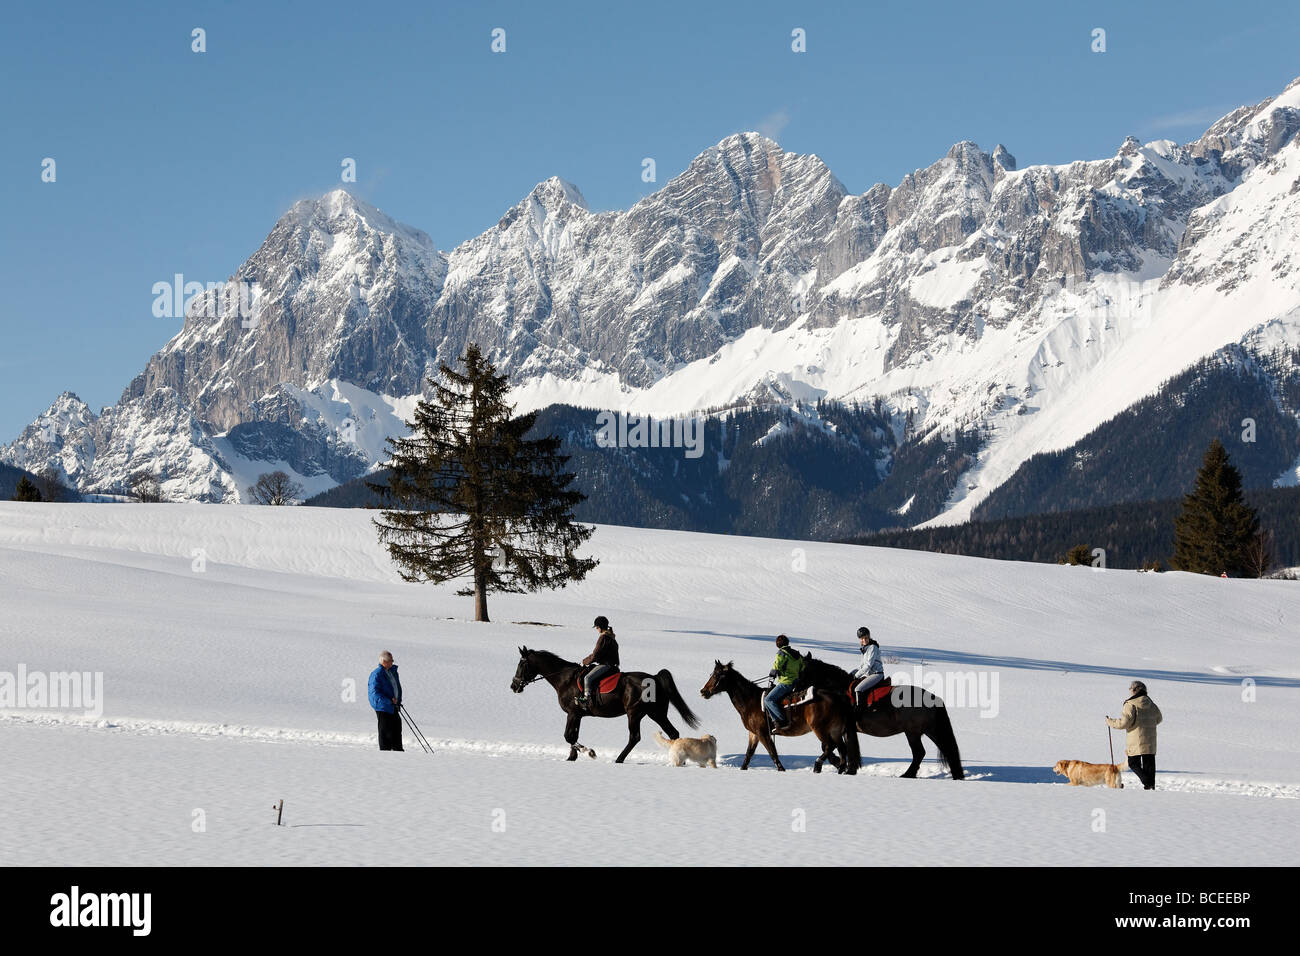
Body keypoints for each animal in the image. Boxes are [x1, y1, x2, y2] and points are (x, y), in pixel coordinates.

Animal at [506, 647, 702, 764]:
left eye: (522, 664)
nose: (514, 686)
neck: (564, 679)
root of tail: (653, 678)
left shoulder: (572, 713)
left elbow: (568, 736)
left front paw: (588, 751)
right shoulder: (577, 715)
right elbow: (572, 735)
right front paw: (572, 757)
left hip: (634, 713)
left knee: (634, 737)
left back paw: (619, 759)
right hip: (657, 713)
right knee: (673, 733)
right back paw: (679, 760)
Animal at [702, 660, 863, 775]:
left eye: (716, 675)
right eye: (712, 674)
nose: (703, 691)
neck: (751, 701)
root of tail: (837, 697)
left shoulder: (763, 733)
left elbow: (772, 752)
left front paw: (781, 769)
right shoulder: (753, 733)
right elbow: (748, 755)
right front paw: (743, 769)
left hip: (820, 729)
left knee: (830, 746)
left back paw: (818, 765)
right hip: (835, 730)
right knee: (842, 749)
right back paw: (841, 769)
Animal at [795, 655, 961, 780]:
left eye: (803, 671)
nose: (795, 688)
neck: (840, 692)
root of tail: (933, 698)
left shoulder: (845, 729)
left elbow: (839, 748)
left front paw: (845, 767)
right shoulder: (844, 730)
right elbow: (837, 748)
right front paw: (845, 767)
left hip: (913, 733)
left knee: (920, 753)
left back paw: (908, 774)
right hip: (929, 730)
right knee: (944, 749)